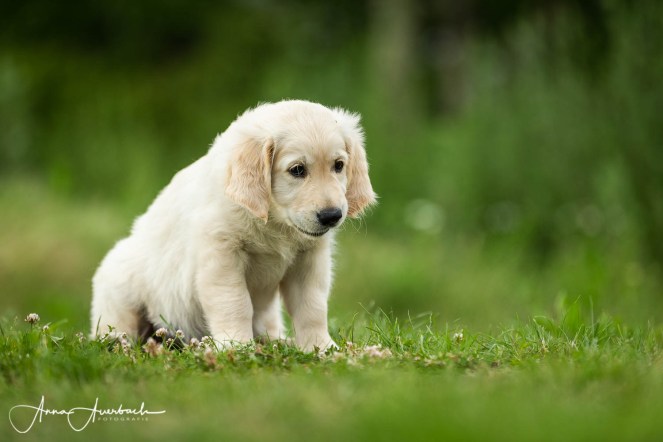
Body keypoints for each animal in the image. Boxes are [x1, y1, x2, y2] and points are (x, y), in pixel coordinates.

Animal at [91, 100, 376, 351]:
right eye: (297, 170)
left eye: (338, 165)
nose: (332, 215)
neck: (274, 221)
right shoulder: (222, 255)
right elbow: (235, 303)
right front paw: (235, 346)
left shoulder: (309, 258)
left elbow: (312, 306)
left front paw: (321, 347)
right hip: (120, 290)